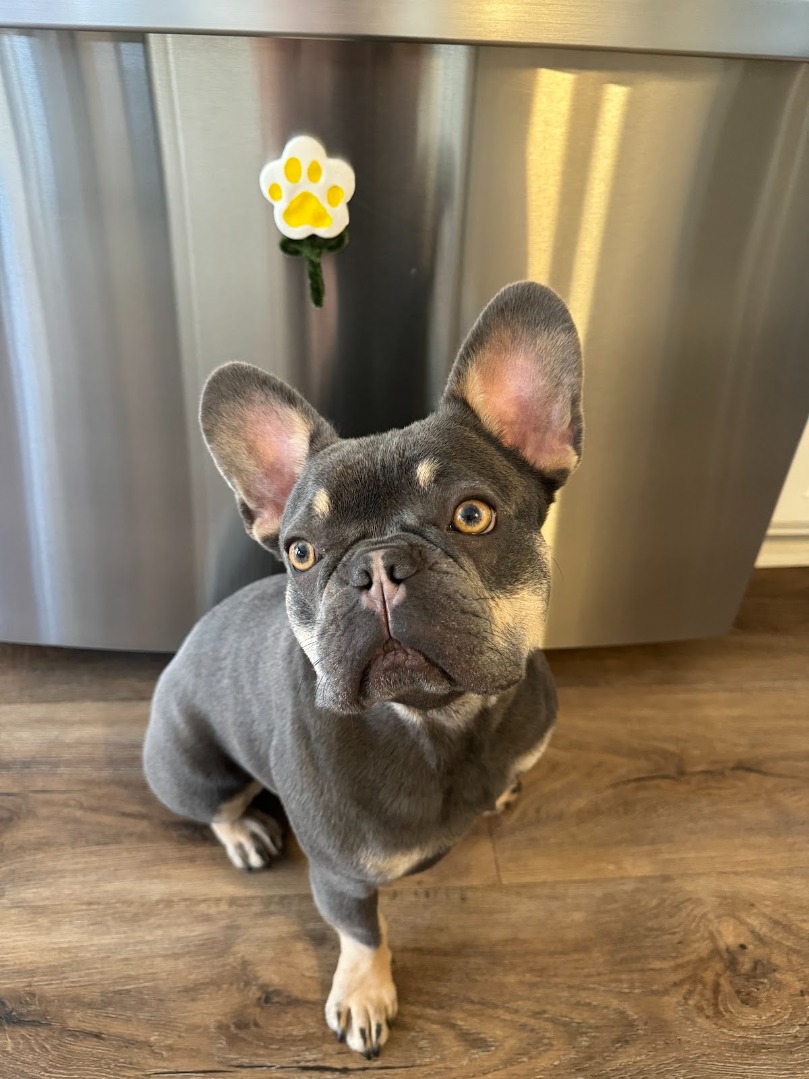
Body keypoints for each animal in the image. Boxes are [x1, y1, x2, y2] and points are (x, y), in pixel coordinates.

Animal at [143, 280, 583, 1058]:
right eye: (300, 553)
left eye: (472, 514)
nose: (376, 566)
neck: (443, 723)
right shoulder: (341, 875)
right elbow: (362, 932)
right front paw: (364, 993)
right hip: (193, 769)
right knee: (216, 807)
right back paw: (245, 832)